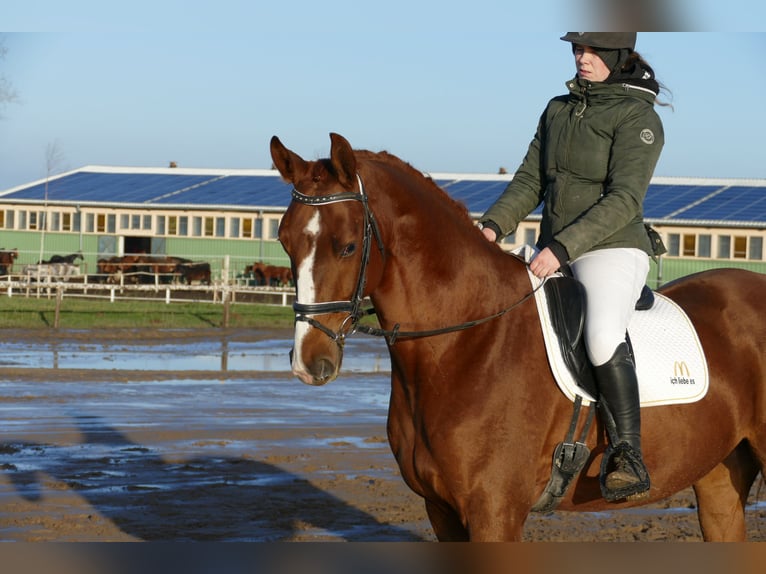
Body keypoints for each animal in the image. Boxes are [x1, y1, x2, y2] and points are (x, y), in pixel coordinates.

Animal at [269, 133, 766, 542]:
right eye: (284, 240)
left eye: (348, 246)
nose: (308, 362)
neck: (466, 343)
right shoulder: (441, 512)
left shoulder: (495, 512)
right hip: (719, 477)